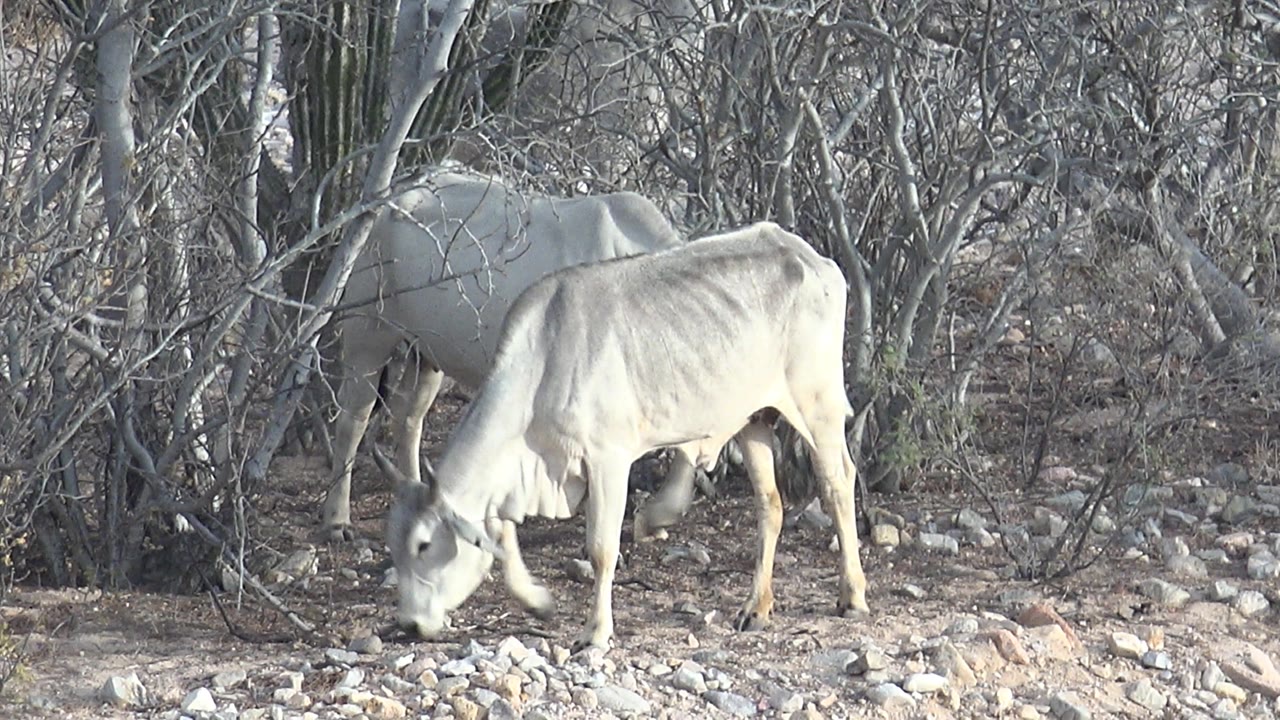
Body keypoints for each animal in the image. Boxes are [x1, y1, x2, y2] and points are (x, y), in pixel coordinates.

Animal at [322, 169, 701, 542]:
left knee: (411, 407)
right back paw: (338, 522)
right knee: (355, 410)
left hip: (425, 344)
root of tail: (386, 203)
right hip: (370, 319)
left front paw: (657, 519)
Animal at [379, 220, 867, 651]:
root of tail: (815, 259)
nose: (410, 624)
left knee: (838, 482)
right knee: (770, 503)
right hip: (754, 418)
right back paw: (756, 606)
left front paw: (595, 632)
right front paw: (538, 602)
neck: (542, 363)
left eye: (424, 544)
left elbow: (601, 548)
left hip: (817, 405)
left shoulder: (607, 459)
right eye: (394, 546)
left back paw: (852, 595)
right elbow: (504, 537)